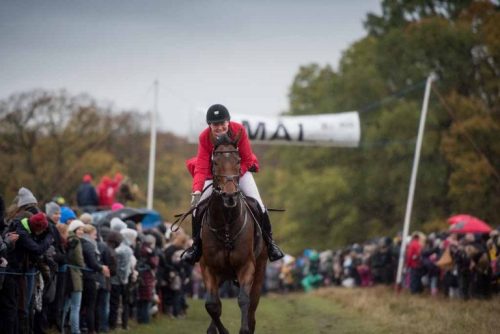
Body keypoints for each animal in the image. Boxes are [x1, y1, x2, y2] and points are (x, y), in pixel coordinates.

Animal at [200, 134, 270, 334]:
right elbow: (212, 306)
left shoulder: (247, 266)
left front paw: (243, 329)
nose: (230, 196)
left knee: (252, 308)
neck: (226, 225)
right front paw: (219, 330)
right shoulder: (208, 268)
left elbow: (244, 301)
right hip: (222, 273)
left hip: (260, 270)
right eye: (215, 162)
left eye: (238, 161)